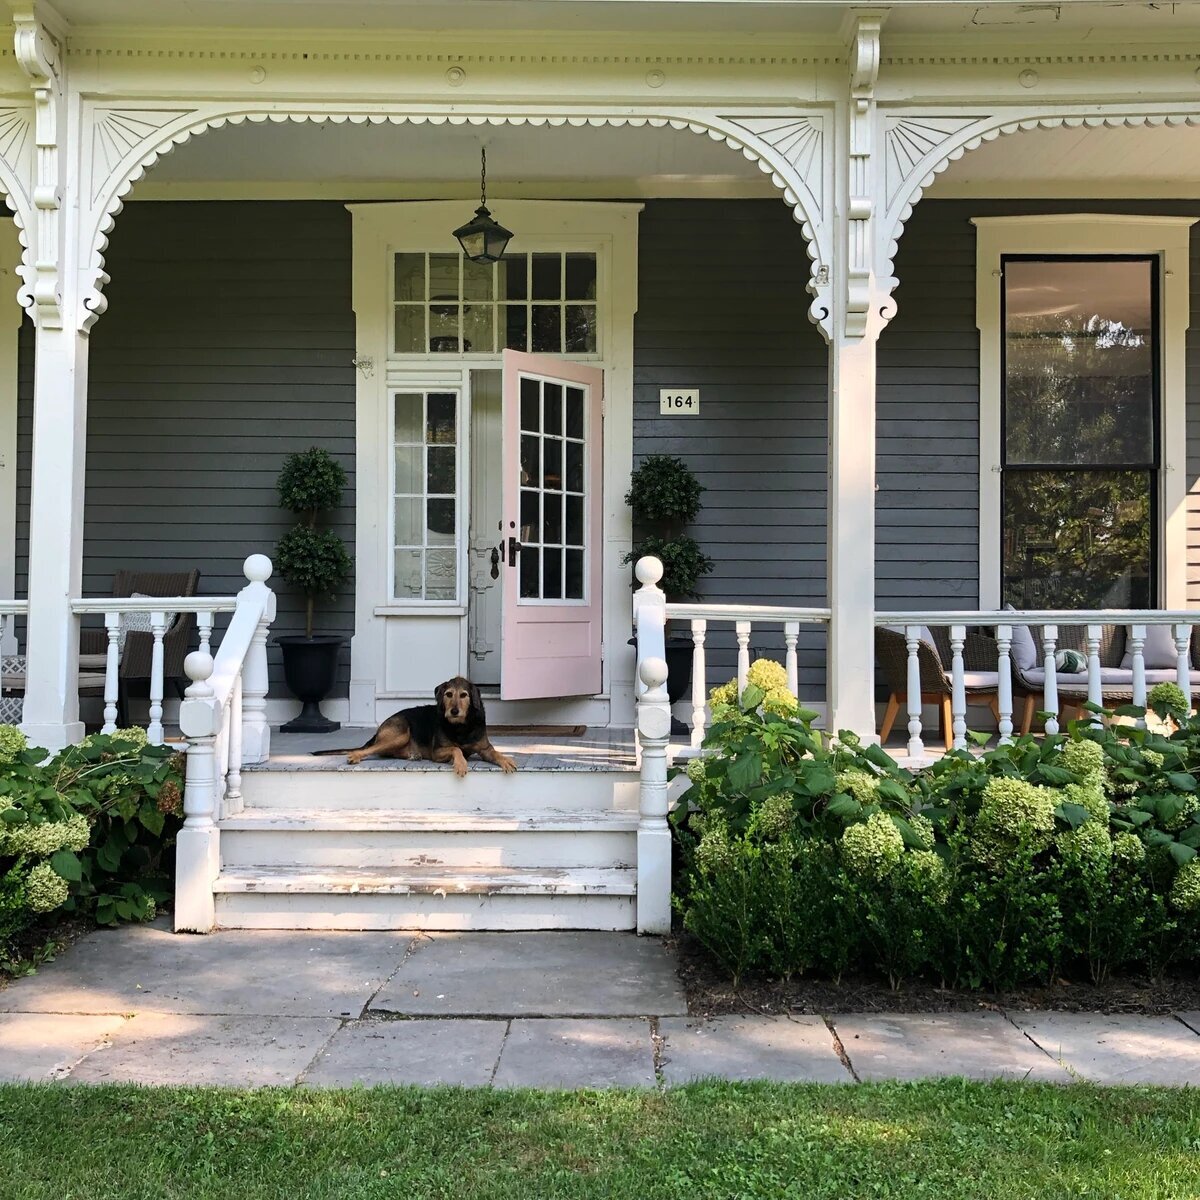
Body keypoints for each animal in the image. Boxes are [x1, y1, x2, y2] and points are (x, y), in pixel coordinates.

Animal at [309, 676, 516, 777]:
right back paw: (355, 755)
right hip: (400, 733)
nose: (454, 711)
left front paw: (506, 760)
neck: (461, 726)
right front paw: (460, 764)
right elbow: (456, 749)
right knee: (371, 749)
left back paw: (413, 755)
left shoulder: (484, 748)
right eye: (448, 694)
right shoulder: (437, 752)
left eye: (464, 695)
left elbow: (495, 752)